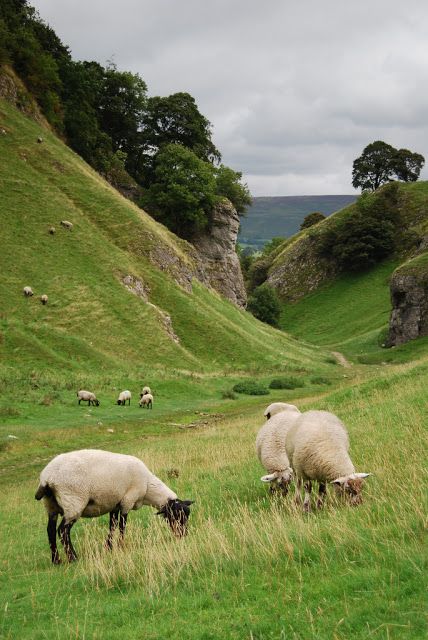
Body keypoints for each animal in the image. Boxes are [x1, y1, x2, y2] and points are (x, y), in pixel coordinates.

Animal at [35, 448, 194, 564]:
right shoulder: (127, 501)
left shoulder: (115, 505)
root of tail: (46, 479)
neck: (148, 486)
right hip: (73, 502)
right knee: (63, 531)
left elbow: (112, 525)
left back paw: (56, 560)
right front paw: (121, 545)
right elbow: (122, 526)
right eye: (177, 516)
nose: (183, 535)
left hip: (51, 505)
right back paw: (73, 558)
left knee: (50, 530)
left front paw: (109, 547)